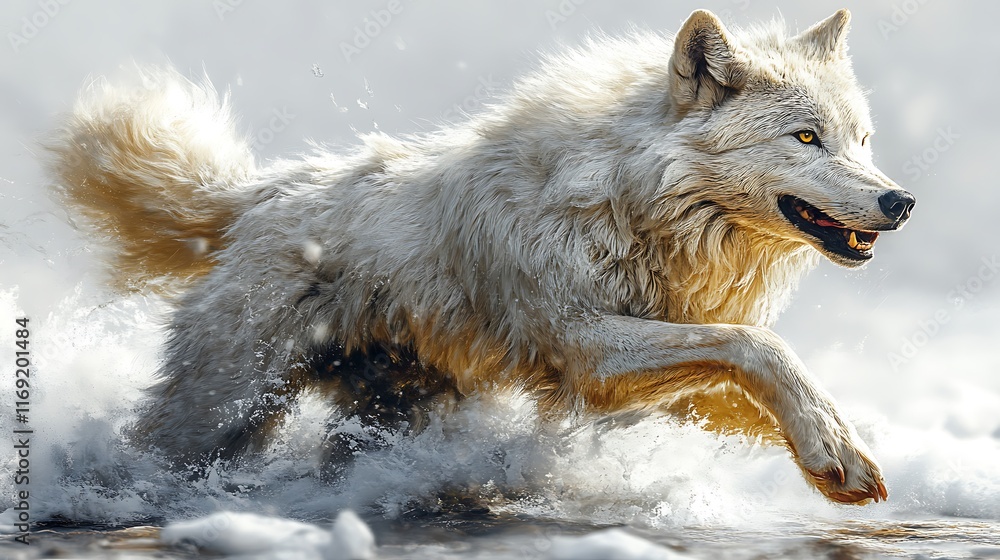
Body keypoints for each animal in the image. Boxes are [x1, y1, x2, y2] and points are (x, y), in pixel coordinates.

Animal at [47, 9, 912, 504]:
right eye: (807, 138)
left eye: (863, 140)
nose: (900, 202)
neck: (633, 200)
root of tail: (260, 192)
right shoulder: (585, 347)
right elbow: (760, 345)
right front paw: (834, 449)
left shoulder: (646, 379)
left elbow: (765, 368)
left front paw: (839, 453)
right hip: (217, 413)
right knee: (148, 454)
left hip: (385, 412)